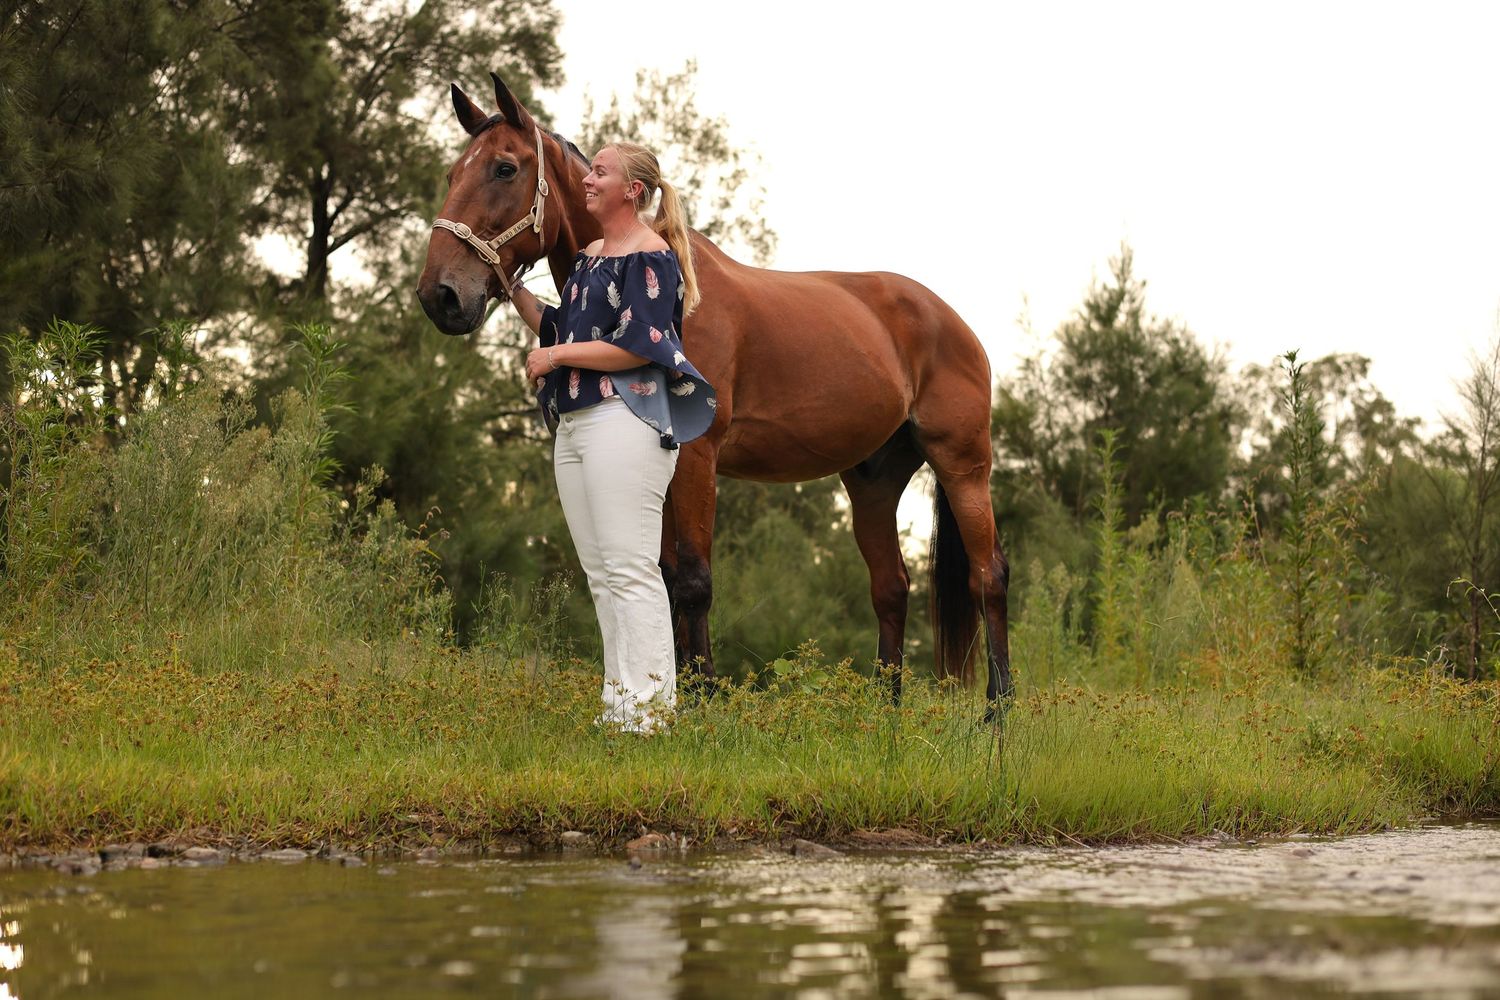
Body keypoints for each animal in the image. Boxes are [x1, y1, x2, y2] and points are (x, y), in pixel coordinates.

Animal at [417, 74, 1013, 711]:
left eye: (504, 168)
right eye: (452, 174)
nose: (440, 295)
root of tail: (949, 319)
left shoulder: (698, 457)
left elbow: (694, 580)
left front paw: (700, 698)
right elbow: (664, 575)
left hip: (962, 464)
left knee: (988, 575)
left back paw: (997, 712)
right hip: (874, 481)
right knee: (891, 587)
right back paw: (887, 710)